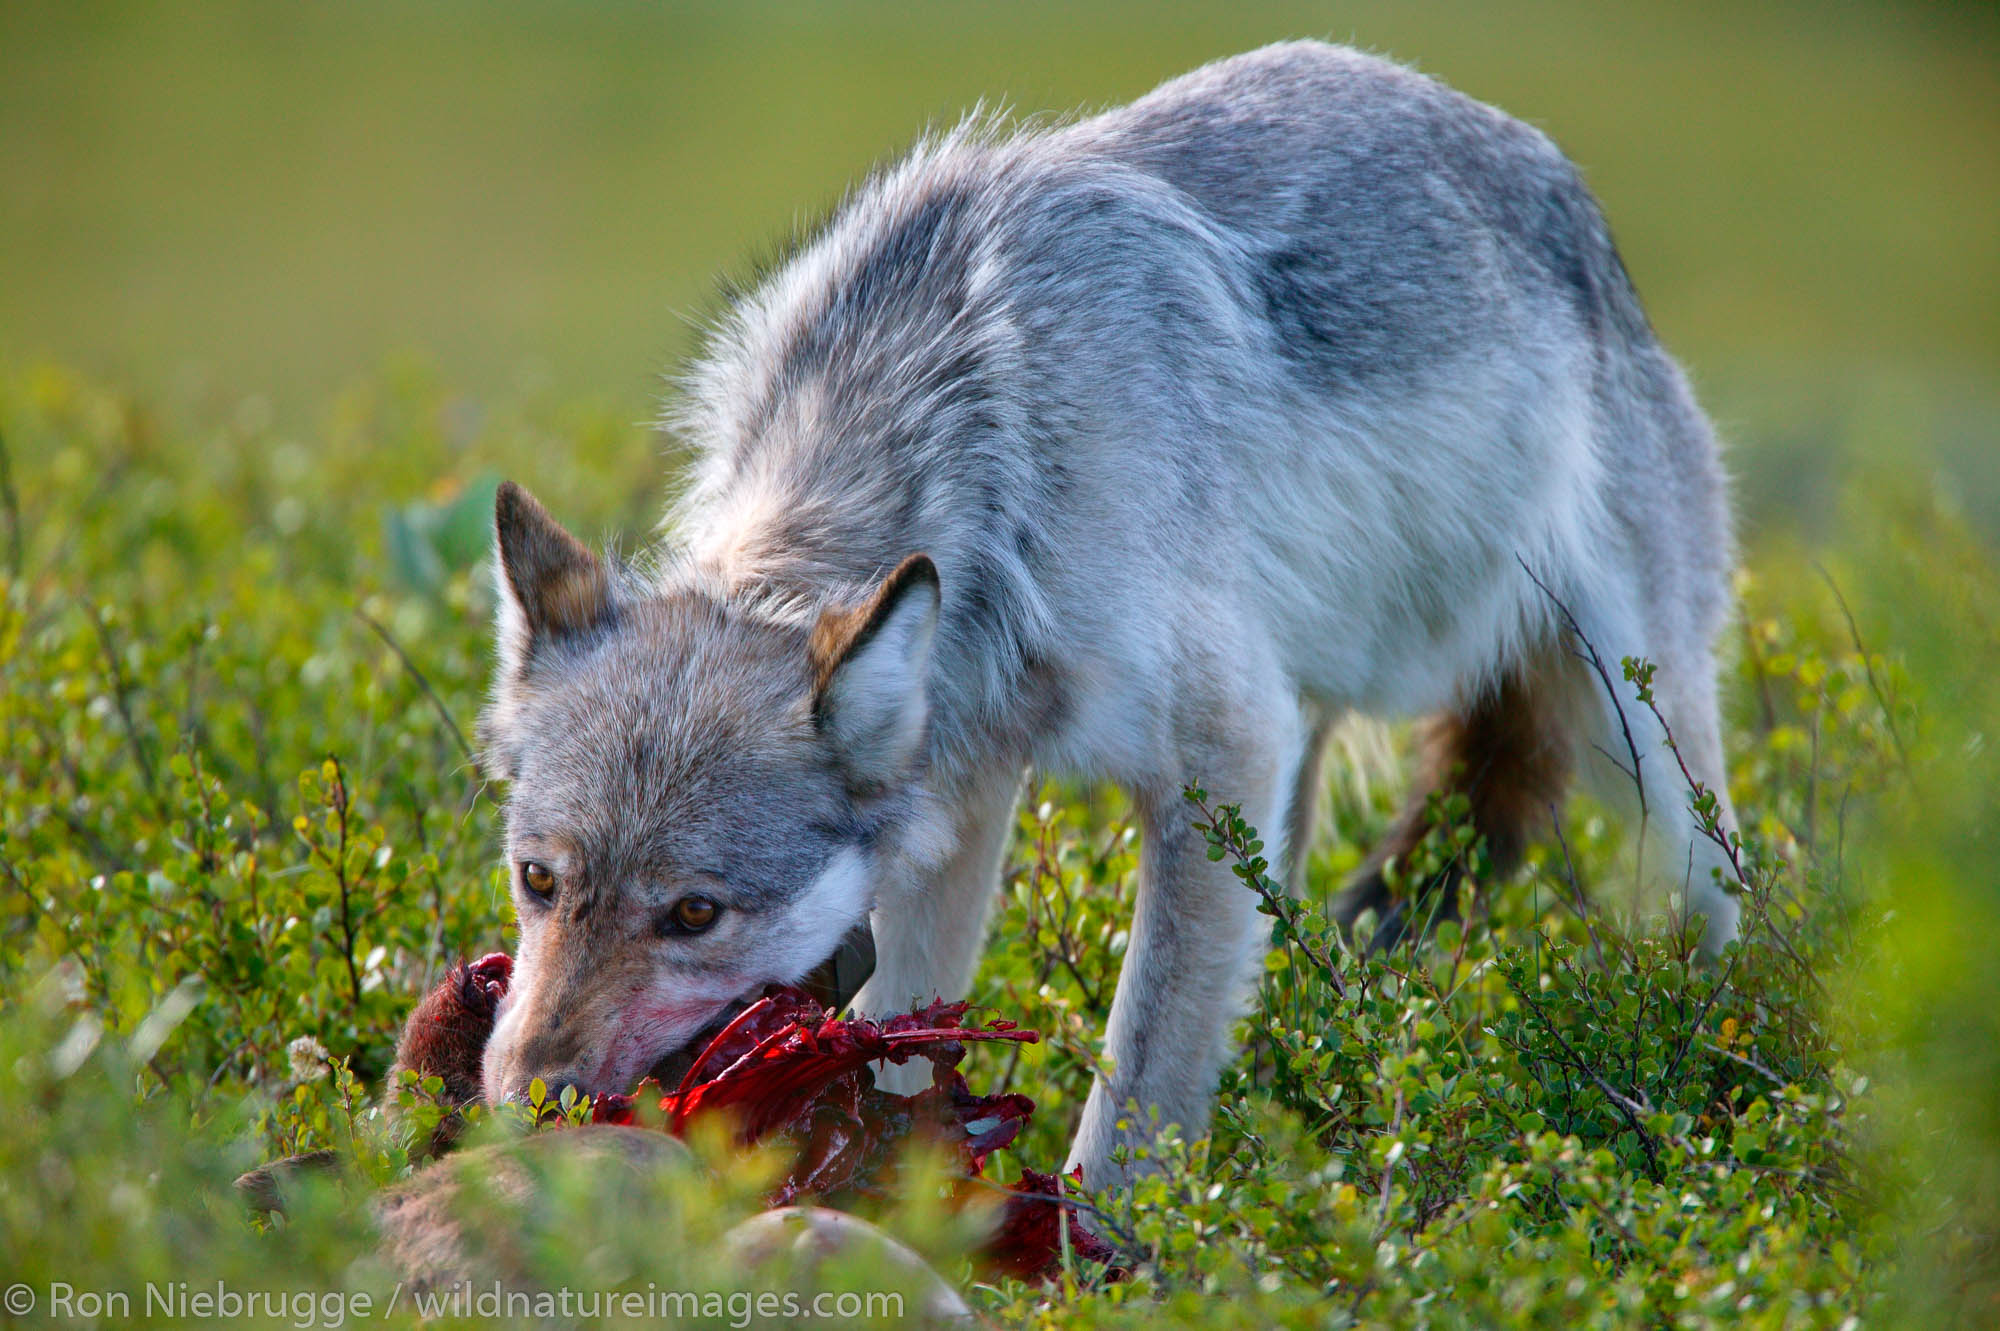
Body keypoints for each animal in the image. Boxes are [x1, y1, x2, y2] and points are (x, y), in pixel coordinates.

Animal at [464, 38, 1736, 1183]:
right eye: (538, 881)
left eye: (692, 912)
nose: (525, 1099)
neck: (976, 448)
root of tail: (1555, 185)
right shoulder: (970, 787)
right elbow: (902, 1032)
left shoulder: (1218, 758)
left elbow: (1136, 1088)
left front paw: (1105, 1250)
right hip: (1313, 733)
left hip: (1639, 744)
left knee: (1722, 905)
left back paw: (1709, 1055)